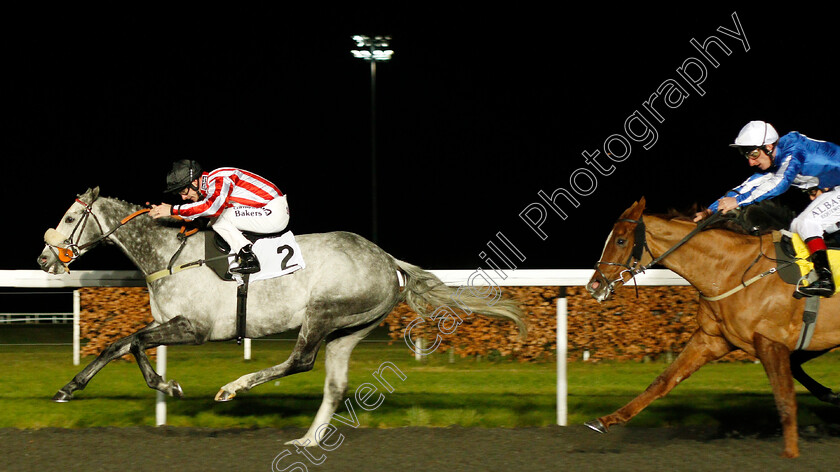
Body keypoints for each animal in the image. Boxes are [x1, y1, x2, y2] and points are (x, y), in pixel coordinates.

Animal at [39, 186, 528, 444]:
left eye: (69, 218)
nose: (45, 258)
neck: (171, 255)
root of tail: (388, 260)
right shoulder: (169, 323)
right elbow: (120, 343)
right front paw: (68, 388)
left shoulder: (193, 328)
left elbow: (134, 342)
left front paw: (167, 384)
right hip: (350, 329)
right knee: (334, 384)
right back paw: (309, 438)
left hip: (323, 313)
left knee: (301, 361)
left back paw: (233, 388)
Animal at [584, 196, 840, 458]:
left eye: (621, 240)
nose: (594, 285)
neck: (733, 270)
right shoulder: (712, 338)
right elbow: (664, 380)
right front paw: (606, 420)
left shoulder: (771, 341)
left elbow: (785, 397)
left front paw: (790, 455)